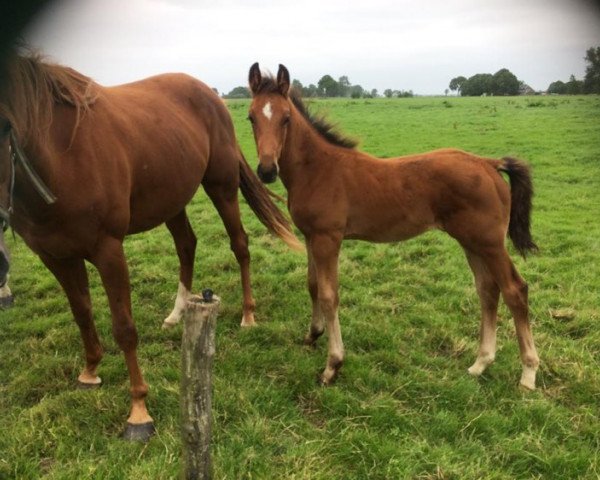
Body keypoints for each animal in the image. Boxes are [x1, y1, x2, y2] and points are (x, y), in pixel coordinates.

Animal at [247, 62, 540, 390]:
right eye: (251, 117)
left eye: (286, 118)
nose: (267, 170)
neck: (318, 170)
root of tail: (488, 164)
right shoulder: (311, 236)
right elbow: (312, 286)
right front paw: (313, 334)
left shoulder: (328, 239)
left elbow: (329, 295)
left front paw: (333, 365)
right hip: (472, 241)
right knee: (488, 289)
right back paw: (480, 363)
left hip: (490, 242)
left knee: (515, 290)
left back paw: (528, 374)